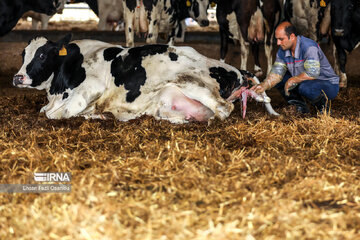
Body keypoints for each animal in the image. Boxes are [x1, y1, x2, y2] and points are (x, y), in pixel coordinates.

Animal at [12, 33, 278, 123]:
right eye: (23, 54)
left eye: (43, 55)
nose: (18, 78)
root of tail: (237, 70)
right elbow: (46, 110)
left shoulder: (90, 87)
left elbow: (56, 114)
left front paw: (94, 114)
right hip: (167, 101)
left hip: (192, 83)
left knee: (223, 109)